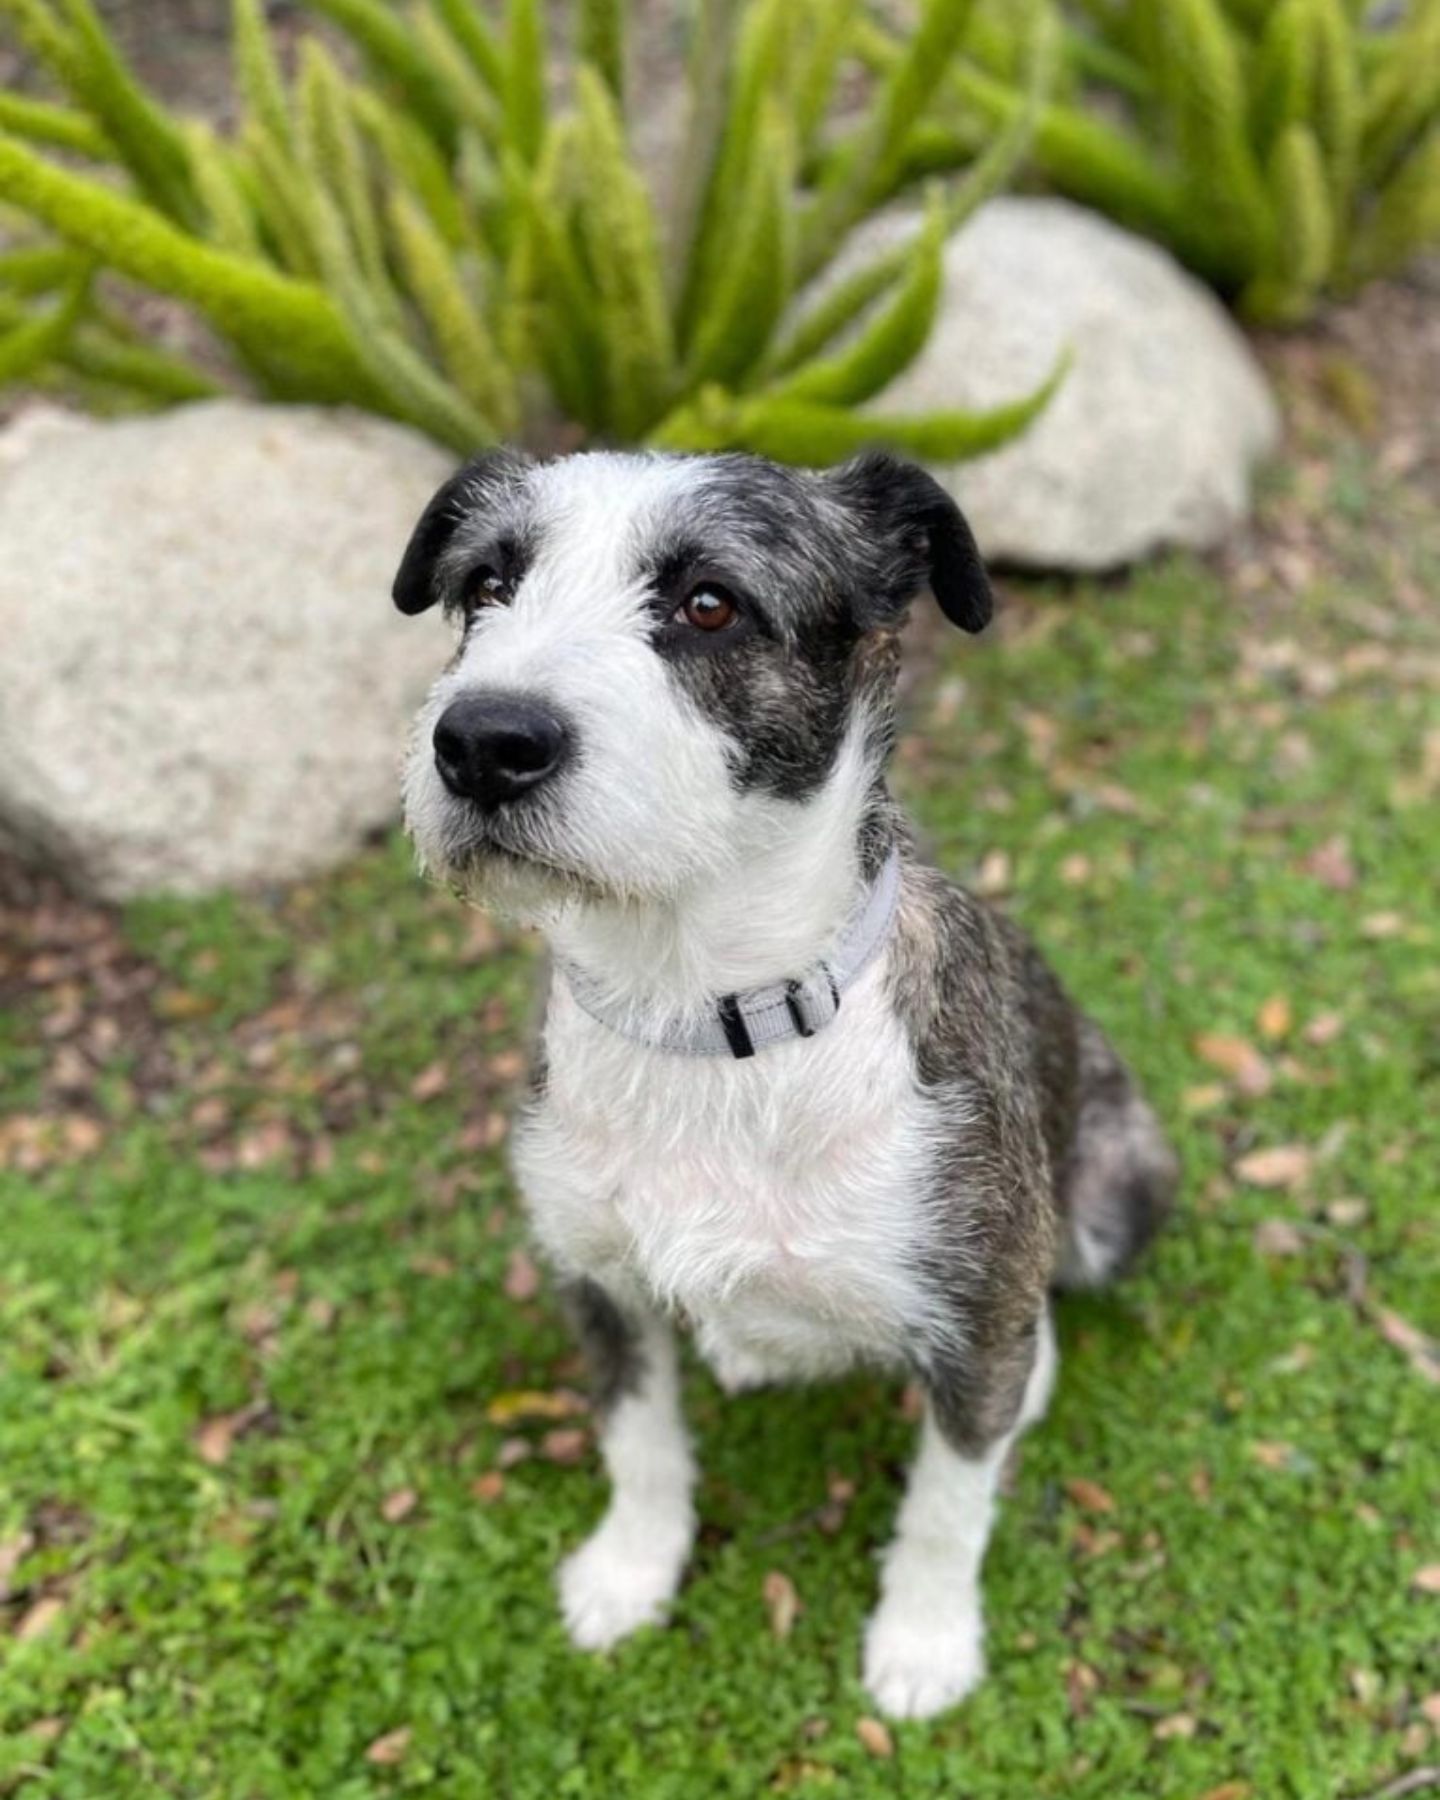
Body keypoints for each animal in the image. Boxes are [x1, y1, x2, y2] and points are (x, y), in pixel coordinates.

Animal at [394, 446, 1180, 1713]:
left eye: (710, 602)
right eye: (486, 588)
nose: (483, 743)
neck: (705, 1018)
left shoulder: (977, 1320)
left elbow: (949, 1502)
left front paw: (923, 1642)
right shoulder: (594, 1278)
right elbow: (640, 1445)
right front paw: (631, 1571)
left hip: (1118, 1188)